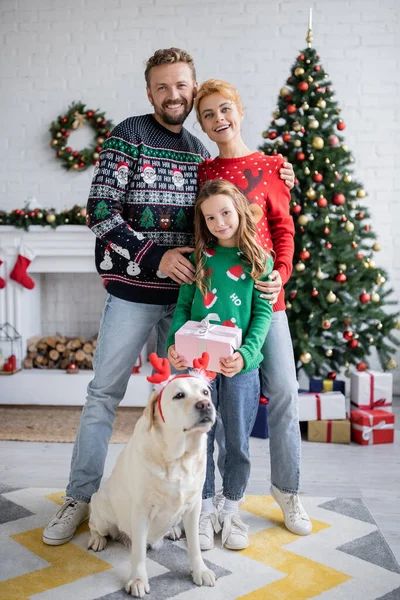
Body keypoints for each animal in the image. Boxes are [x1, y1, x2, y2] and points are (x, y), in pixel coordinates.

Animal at [89, 352, 217, 596]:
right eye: (179, 395)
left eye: (205, 392)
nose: (205, 404)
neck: (179, 458)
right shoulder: (141, 509)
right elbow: (138, 552)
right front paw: (138, 580)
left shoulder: (194, 505)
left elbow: (194, 545)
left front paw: (200, 571)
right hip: (101, 509)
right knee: (95, 526)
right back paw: (97, 540)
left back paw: (173, 529)